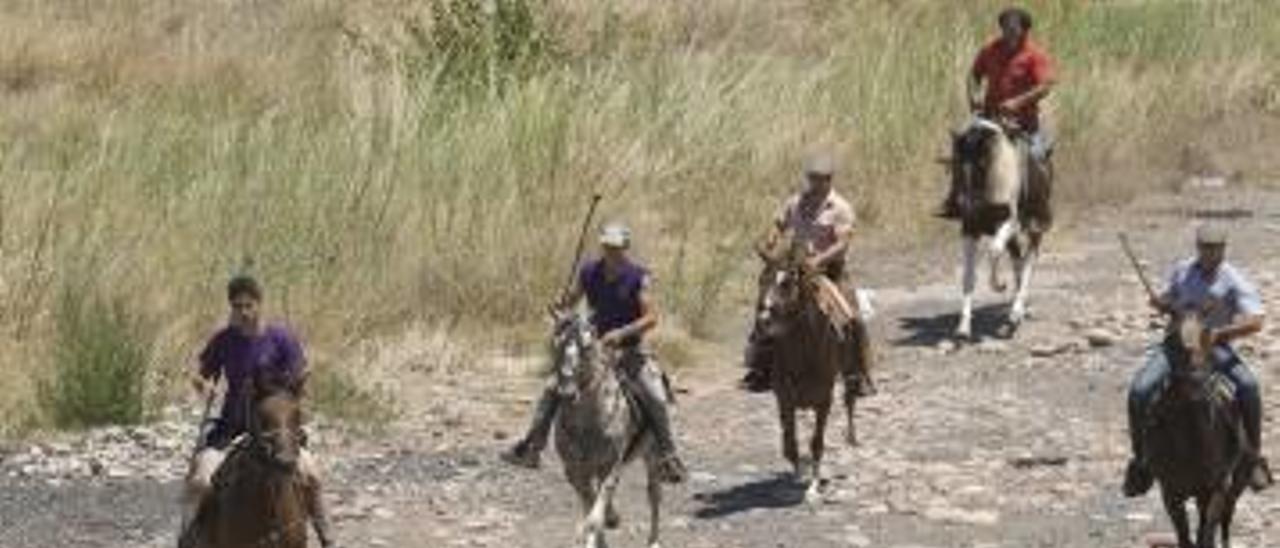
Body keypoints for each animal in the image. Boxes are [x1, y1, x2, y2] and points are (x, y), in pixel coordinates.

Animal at [550, 309, 670, 548]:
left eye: (587, 346)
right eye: (555, 343)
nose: (567, 393)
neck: (587, 423)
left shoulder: (611, 465)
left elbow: (594, 516)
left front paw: (599, 528)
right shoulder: (575, 471)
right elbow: (590, 505)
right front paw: (606, 528)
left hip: (652, 454)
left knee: (654, 495)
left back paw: (653, 540)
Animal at [752, 233, 855, 499]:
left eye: (787, 283)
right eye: (761, 280)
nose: (763, 321)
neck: (805, 351)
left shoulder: (824, 400)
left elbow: (816, 442)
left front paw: (813, 487)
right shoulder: (785, 399)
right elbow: (790, 442)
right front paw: (797, 478)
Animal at [952, 115, 1049, 338]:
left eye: (981, 163)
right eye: (957, 163)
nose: (964, 204)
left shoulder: (1011, 223)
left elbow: (994, 250)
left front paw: (999, 285)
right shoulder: (970, 229)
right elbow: (968, 275)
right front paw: (963, 327)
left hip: (1035, 226)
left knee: (1029, 260)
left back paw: (1015, 313)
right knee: (1018, 262)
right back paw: (1019, 310)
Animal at [1141, 309, 1249, 545]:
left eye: (1209, 334)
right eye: (1172, 338)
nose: (1196, 380)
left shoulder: (1216, 488)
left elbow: (1205, 534)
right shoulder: (1170, 491)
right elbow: (1185, 537)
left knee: (1225, 518)